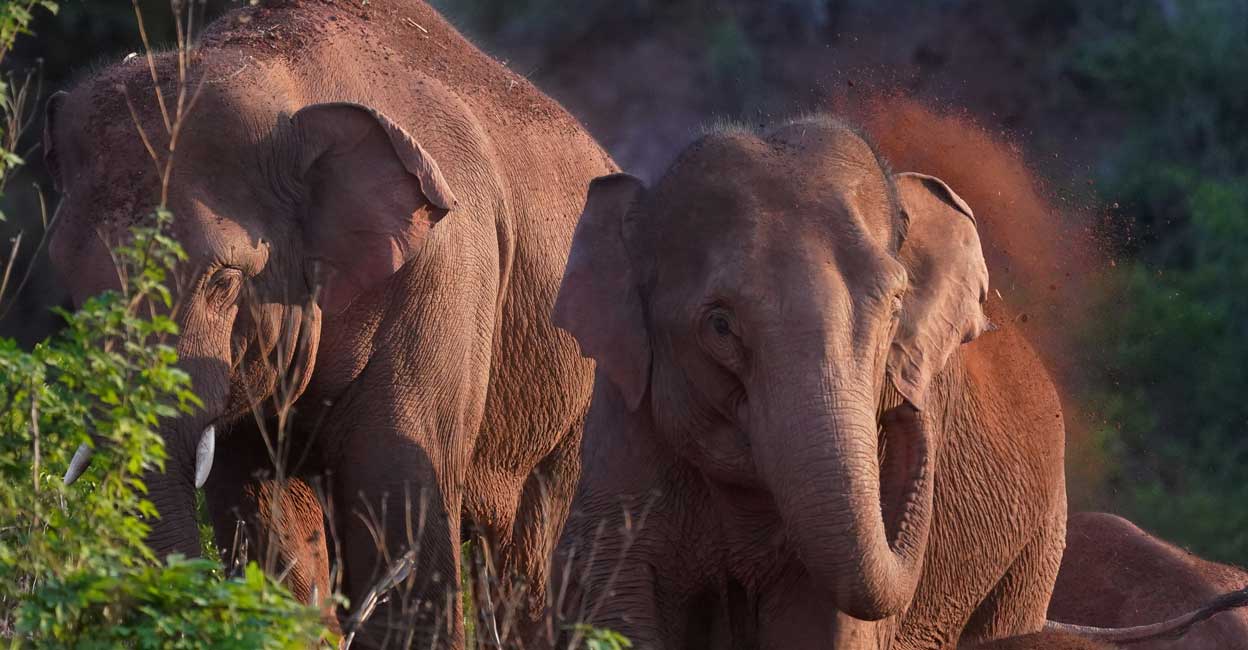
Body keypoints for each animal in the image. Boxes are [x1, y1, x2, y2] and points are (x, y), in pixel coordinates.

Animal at [44, 0, 612, 646]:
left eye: (222, 282)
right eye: (67, 277)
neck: (280, 77)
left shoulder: (442, 278)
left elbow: (400, 506)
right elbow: (263, 514)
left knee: (534, 553)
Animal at [547, 116, 1072, 649]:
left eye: (895, 307)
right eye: (720, 326)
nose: (908, 403)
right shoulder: (623, 424)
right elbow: (622, 606)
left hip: (1037, 550)